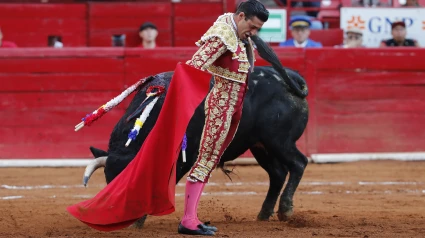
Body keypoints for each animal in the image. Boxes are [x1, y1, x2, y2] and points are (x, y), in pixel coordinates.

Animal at [83, 64, 308, 227]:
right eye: (109, 181)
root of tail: (290, 77)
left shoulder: (185, 157)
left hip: (279, 140)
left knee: (299, 163)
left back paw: (285, 209)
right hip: (260, 145)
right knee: (278, 174)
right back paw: (264, 213)